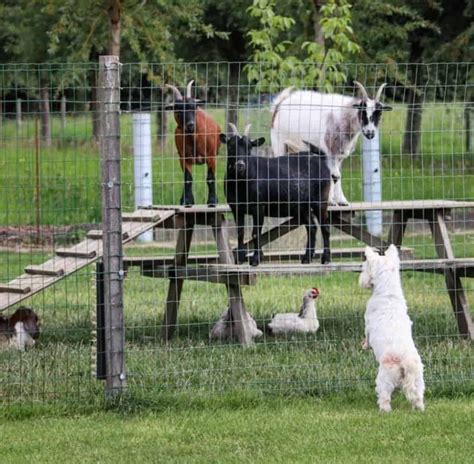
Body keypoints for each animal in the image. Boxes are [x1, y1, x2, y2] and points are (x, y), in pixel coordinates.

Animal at [221, 123, 330, 266]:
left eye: (249, 147)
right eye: (230, 145)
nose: (240, 165)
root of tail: (321, 161)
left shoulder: (259, 206)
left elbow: (256, 233)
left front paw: (256, 259)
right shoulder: (236, 208)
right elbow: (240, 232)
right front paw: (240, 259)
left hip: (320, 200)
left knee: (325, 227)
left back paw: (326, 259)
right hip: (303, 206)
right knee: (311, 227)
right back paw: (307, 258)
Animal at [360, 245, 426, 412]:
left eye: (364, 267)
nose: (361, 281)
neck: (388, 292)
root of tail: (407, 362)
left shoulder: (367, 322)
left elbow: (366, 335)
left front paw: (364, 345)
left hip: (385, 376)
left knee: (384, 395)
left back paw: (384, 410)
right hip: (419, 379)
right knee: (418, 396)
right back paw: (420, 408)